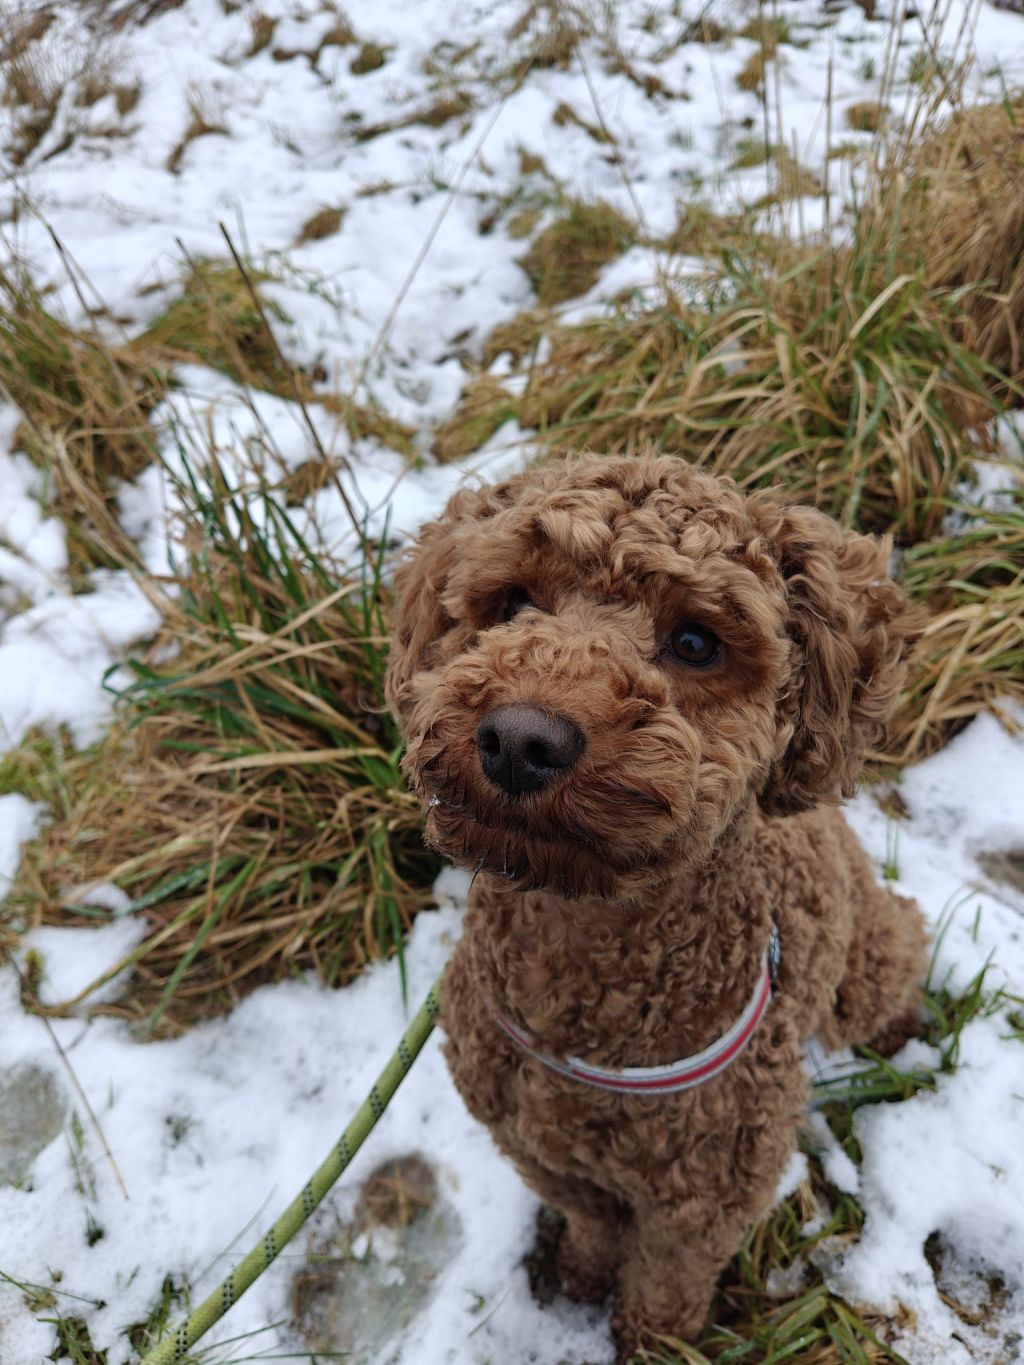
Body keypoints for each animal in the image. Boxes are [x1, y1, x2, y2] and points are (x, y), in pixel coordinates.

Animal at [385, 453, 928, 1358]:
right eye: (513, 603)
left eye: (697, 642)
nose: (520, 739)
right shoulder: (537, 1146)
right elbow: (595, 1221)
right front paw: (581, 1272)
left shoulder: (705, 1200)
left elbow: (666, 1284)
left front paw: (647, 1341)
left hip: (868, 957)